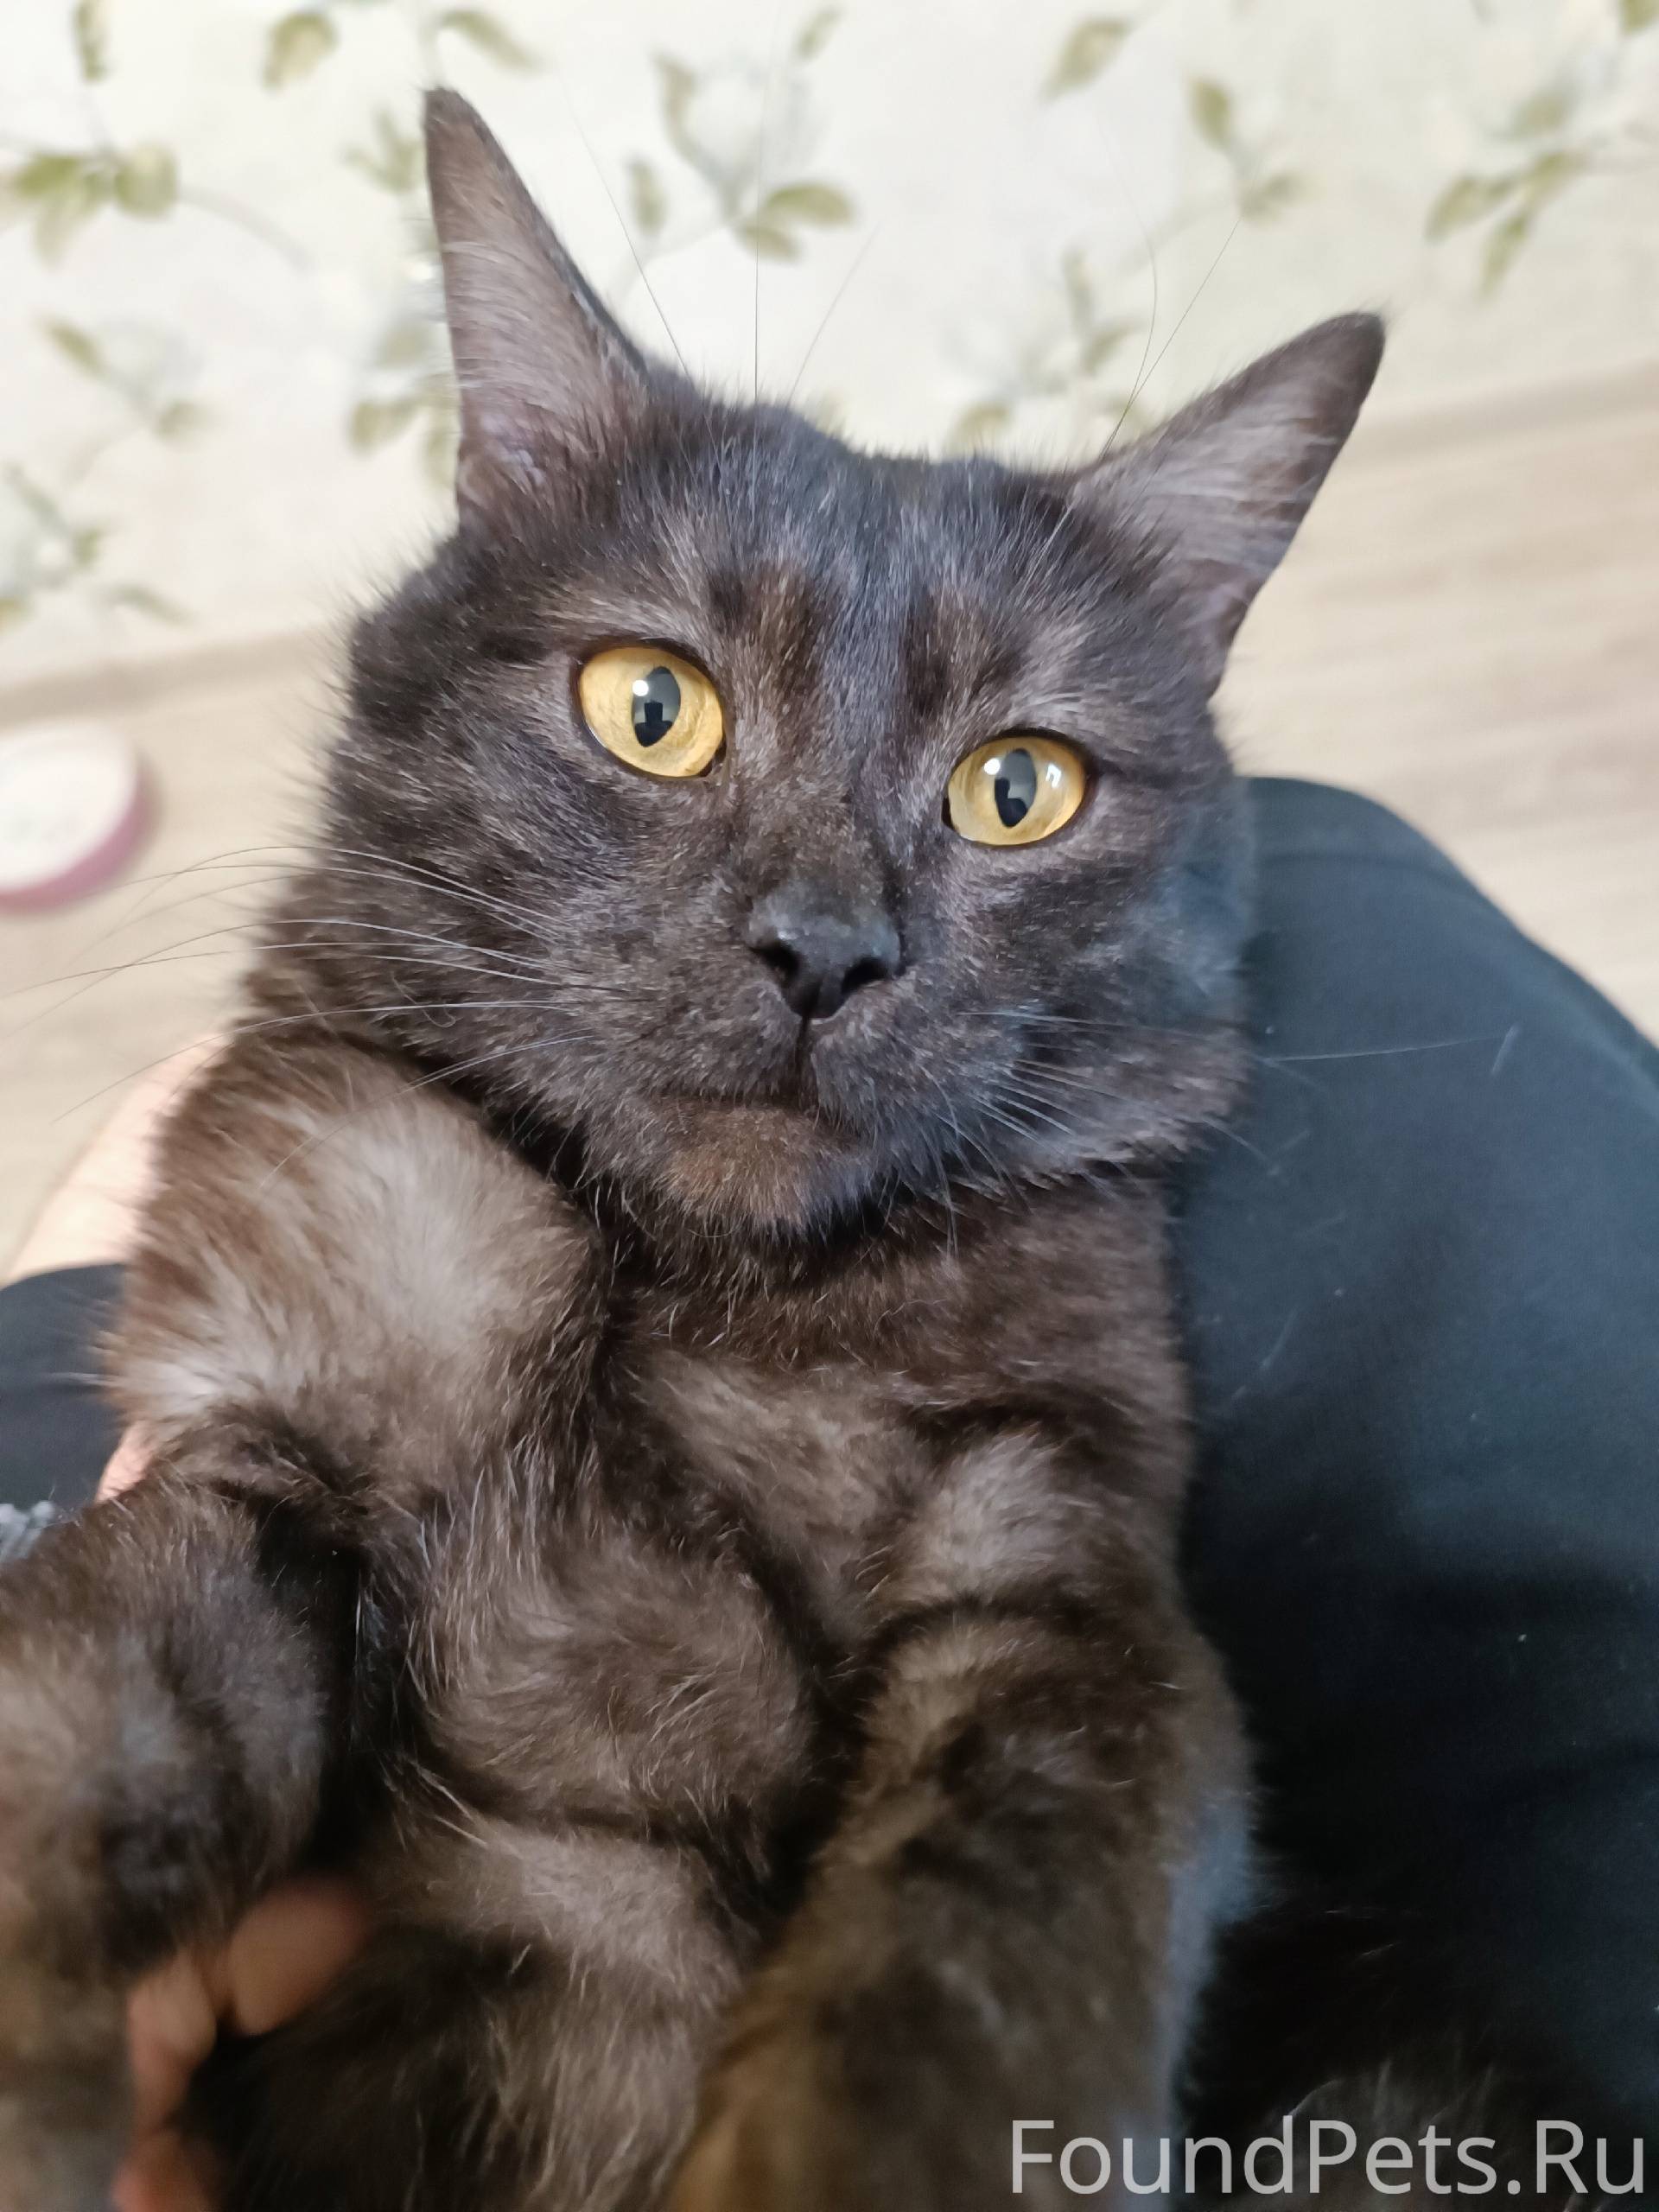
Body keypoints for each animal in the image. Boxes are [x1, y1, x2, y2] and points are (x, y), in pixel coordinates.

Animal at [0, 90, 1384, 2212]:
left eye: (1021, 788)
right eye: (649, 707)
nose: (823, 948)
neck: (683, 1281)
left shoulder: (1058, 1586)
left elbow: (965, 1976)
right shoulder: (279, 1437)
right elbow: (82, 1722)